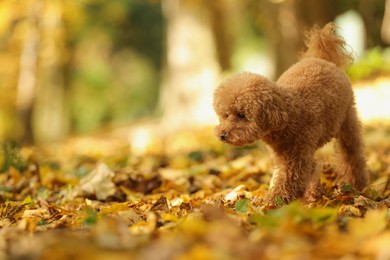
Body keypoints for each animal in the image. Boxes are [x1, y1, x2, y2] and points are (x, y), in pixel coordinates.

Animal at [213, 22, 368, 205]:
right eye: (225, 115)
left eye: (241, 115)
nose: (222, 135)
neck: (288, 115)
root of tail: (322, 58)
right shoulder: (288, 156)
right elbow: (302, 173)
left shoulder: (296, 158)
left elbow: (288, 182)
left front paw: (273, 203)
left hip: (347, 119)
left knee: (352, 153)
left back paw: (357, 184)